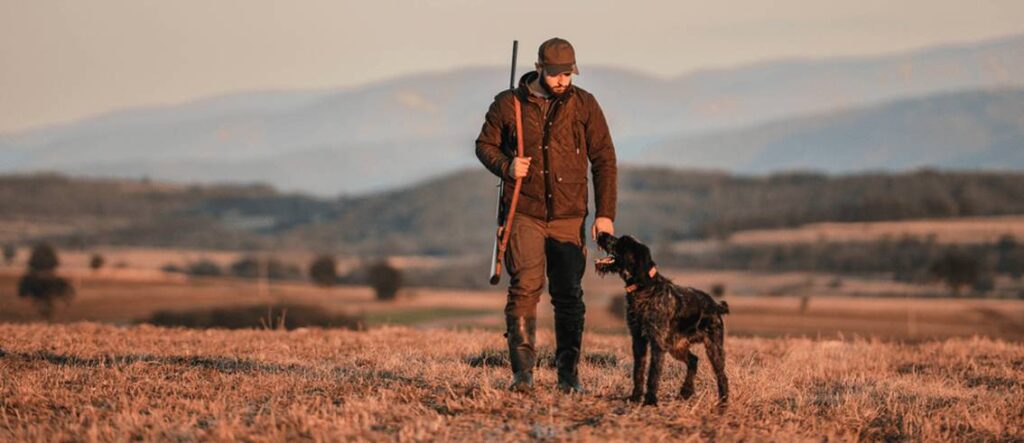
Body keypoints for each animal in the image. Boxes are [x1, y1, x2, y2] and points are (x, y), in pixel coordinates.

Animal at [593, 233, 729, 405]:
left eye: (623, 241)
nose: (600, 234)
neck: (643, 287)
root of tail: (715, 305)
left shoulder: (657, 342)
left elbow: (653, 372)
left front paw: (650, 400)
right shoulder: (638, 339)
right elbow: (638, 371)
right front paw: (635, 397)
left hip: (713, 348)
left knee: (721, 375)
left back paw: (723, 401)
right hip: (676, 346)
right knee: (693, 360)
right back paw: (686, 391)